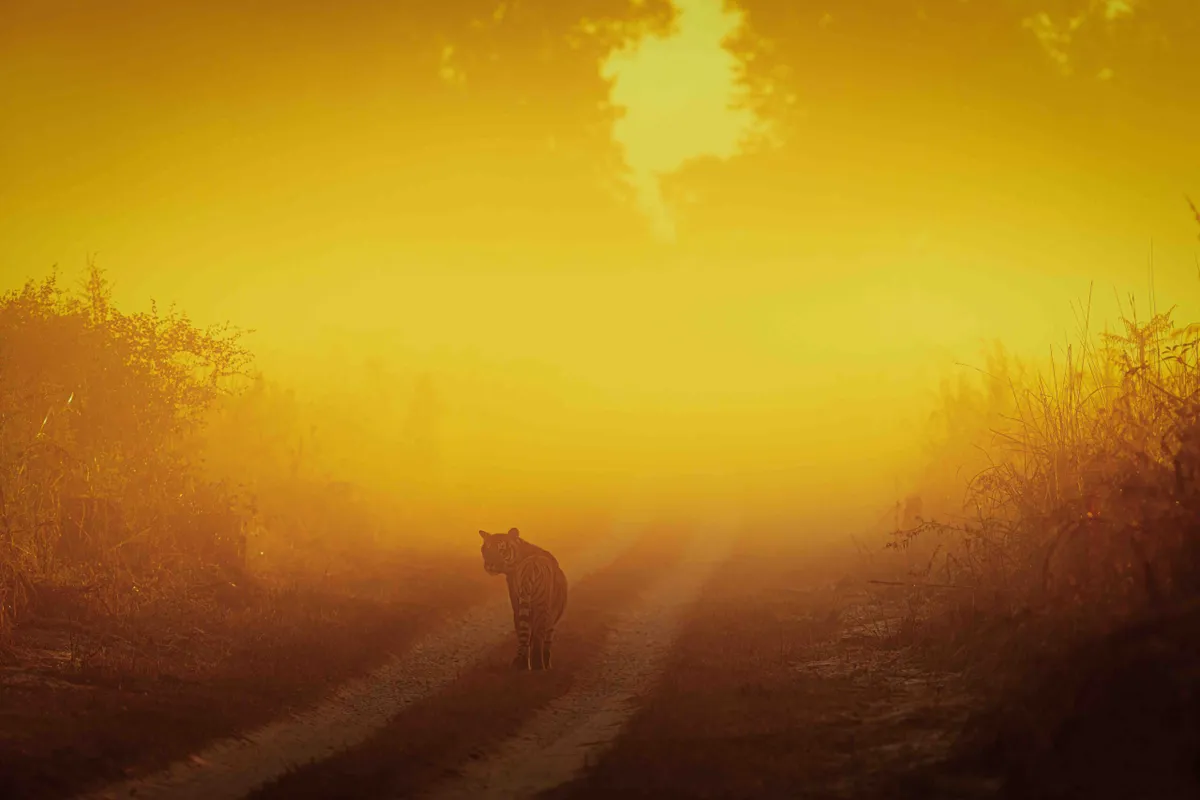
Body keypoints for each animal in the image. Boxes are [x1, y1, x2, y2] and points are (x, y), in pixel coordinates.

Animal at [477, 527, 566, 671]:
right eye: (487, 549)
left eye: (501, 549)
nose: (490, 565)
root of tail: (531, 567)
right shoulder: (552, 622)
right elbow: (547, 645)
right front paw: (548, 666)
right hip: (540, 609)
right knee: (537, 639)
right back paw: (538, 668)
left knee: (524, 636)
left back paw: (522, 665)